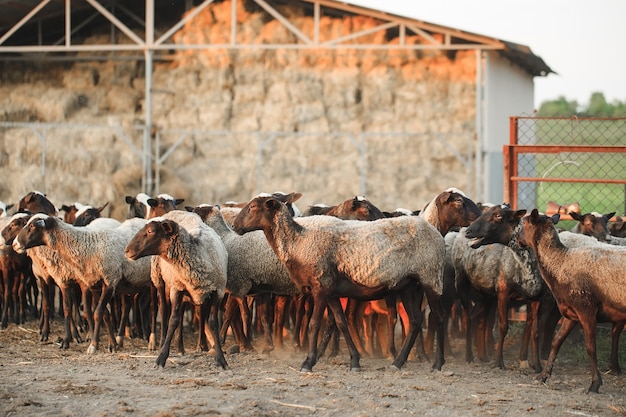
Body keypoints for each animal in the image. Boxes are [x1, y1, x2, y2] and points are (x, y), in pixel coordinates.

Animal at [12, 213, 151, 352]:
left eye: (31, 226)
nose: (14, 244)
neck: (89, 247)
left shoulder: (110, 281)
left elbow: (97, 313)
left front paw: (99, 345)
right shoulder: (94, 284)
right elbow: (104, 314)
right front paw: (105, 343)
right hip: (132, 282)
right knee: (126, 307)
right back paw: (120, 339)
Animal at [123, 210, 228, 368]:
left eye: (150, 231)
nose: (127, 251)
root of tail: (175, 211)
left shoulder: (218, 291)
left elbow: (213, 322)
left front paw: (220, 358)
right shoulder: (176, 289)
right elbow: (173, 320)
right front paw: (161, 358)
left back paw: (183, 347)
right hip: (160, 279)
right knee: (164, 310)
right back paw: (162, 343)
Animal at [230, 193, 444, 372]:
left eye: (253, 207)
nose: (233, 226)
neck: (298, 242)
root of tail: (435, 231)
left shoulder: (320, 288)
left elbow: (315, 324)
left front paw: (308, 362)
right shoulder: (331, 292)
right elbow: (341, 323)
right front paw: (355, 361)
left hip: (431, 277)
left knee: (438, 317)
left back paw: (437, 364)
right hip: (408, 284)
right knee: (416, 321)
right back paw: (398, 363)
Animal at [464, 208, 624, 394]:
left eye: (498, 216)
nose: (468, 231)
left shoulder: (548, 301)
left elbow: (536, 331)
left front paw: (534, 364)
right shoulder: (514, 295)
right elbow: (520, 329)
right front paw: (509, 363)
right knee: (479, 319)